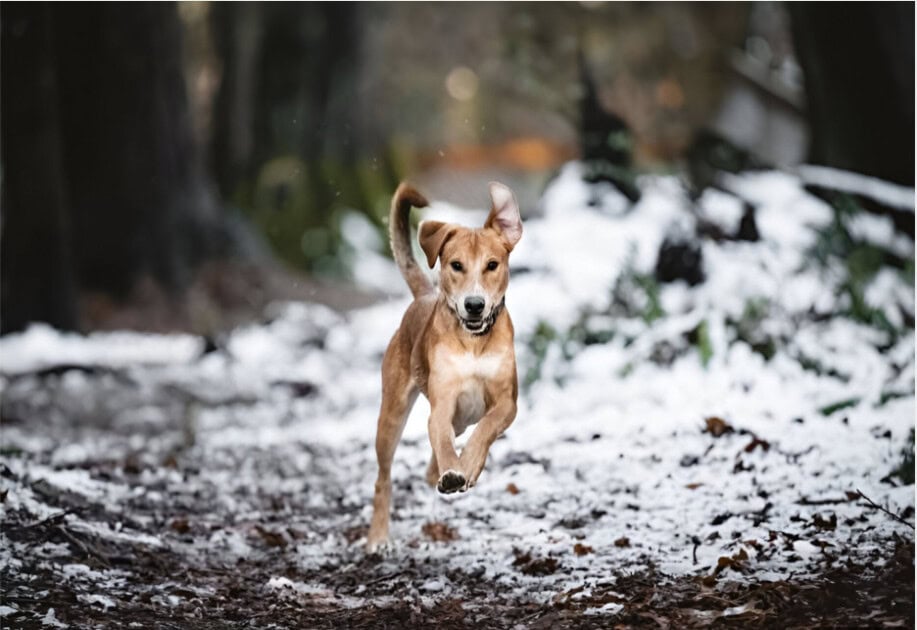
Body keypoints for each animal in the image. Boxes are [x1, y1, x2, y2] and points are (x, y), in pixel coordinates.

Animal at [364, 180, 524, 552]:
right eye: (456, 265)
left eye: (492, 265)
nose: (474, 305)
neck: (474, 342)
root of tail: (422, 296)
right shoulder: (443, 403)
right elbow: (444, 441)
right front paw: (454, 471)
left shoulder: (507, 402)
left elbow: (485, 430)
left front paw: (467, 467)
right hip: (392, 414)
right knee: (384, 477)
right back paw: (378, 536)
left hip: (460, 419)